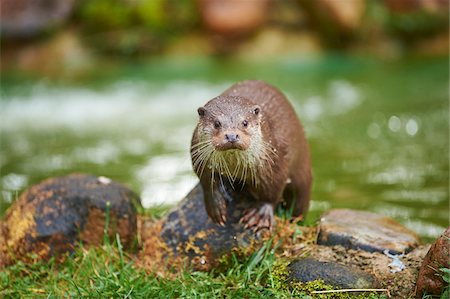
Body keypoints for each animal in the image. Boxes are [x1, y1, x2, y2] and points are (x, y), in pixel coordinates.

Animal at [191, 80, 312, 232]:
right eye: (217, 123)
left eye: (245, 123)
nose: (232, 136)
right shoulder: (199, 155)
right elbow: (207, 182)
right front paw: (215, 206)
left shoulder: (274, 161)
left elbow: (273, 190)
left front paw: (261, 214)